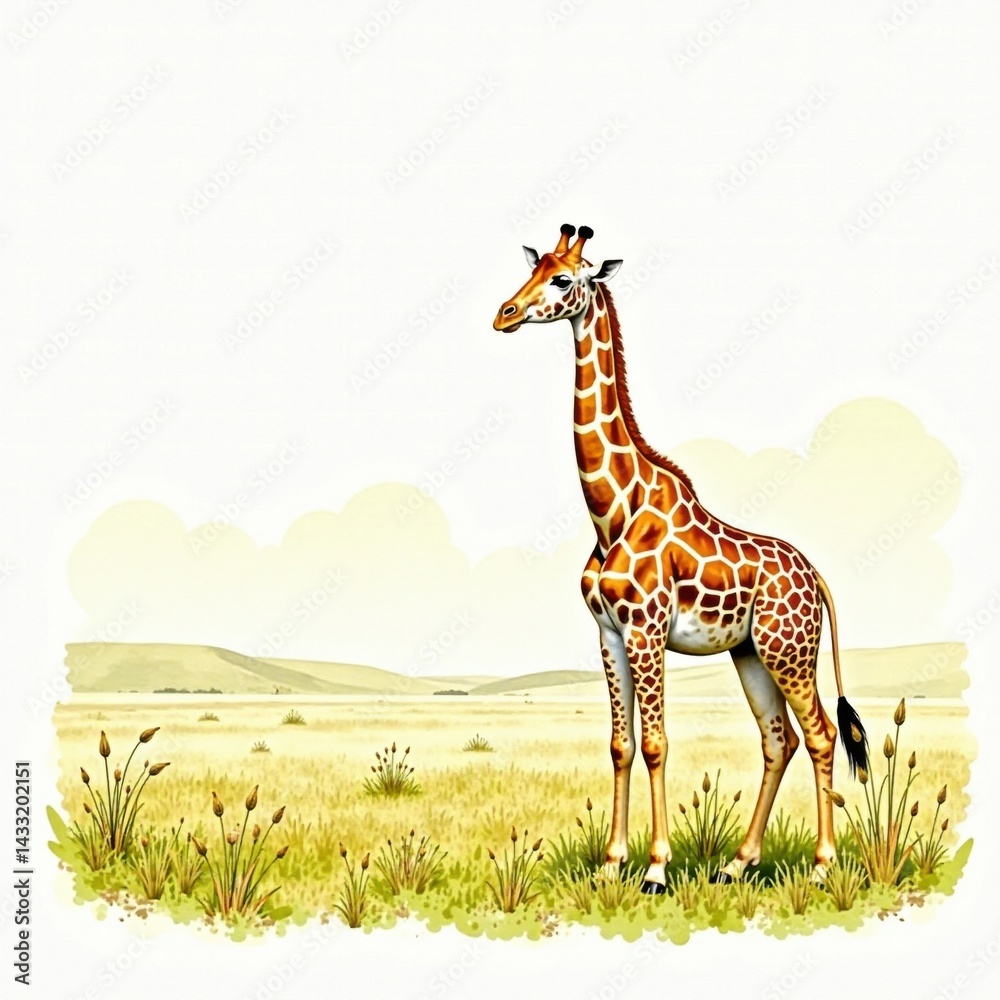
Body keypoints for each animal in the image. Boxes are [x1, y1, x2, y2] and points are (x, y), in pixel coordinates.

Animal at [493, 224, 869, 892]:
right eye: (532, 269)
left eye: (562, 280)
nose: (504, 314)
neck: (612, 511)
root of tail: (816, 575)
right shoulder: (609, 633)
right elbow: (620, 744)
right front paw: (611, 864)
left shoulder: (646, 632)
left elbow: (656, 743)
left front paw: (655, 869)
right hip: (751, 654)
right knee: (778, 740)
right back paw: (737, 863)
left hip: (789, 652)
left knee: (822, 734)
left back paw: (823, 867)